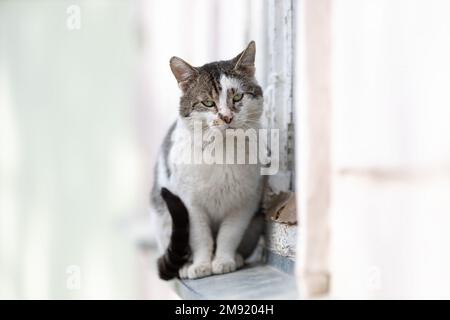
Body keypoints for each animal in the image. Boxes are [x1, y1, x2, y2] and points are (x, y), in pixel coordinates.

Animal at [149, 41, 266, 278]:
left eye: (237, 97)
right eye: (208, 103)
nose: (227, 117)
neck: (222, 150)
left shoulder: (244, 203)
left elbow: (229, 235)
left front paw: (223, 261)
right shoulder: (190, 204)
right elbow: (200, 237)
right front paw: (202, 265)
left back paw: (237, 258)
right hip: (162, 217)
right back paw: (186, 266)